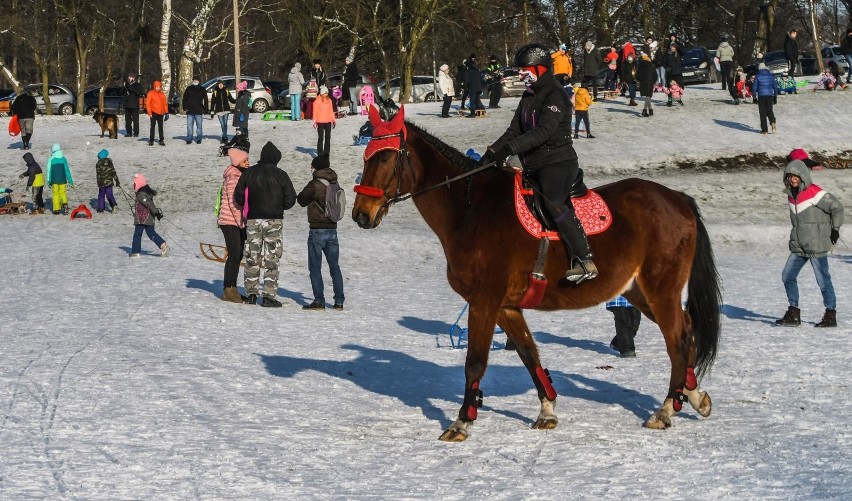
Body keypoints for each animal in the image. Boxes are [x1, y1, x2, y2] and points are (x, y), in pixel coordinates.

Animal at [352, 103, 720, 440]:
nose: (360, 214)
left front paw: (462, 421)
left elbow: (475, 361)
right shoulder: (506, 306)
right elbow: (529, 354)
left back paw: (666, 409)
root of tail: (677, 199)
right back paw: (694, 396)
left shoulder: (484, 301)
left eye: (385, 158)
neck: (470, 210)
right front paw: (547, 410)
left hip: (660, 290)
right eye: (367, 157)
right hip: (639, 291)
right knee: (687, 331)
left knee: (678, 340)